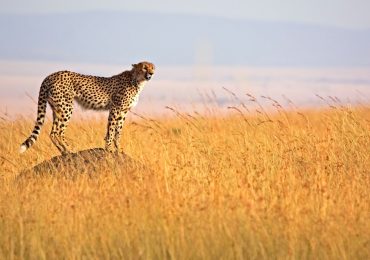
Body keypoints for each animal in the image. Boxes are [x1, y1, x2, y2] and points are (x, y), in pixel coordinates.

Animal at [19, 61, 155, 154]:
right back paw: (70, 149)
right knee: (59, 131)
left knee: (53, 132)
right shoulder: (115, 109)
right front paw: (109, 148)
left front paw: (118, 149)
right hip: (66, 107)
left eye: (153, 67)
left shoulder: (123, 112)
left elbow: (118, 132)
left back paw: (63, 151)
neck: (136, 80)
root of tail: (51, 75)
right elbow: (111, 130)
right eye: (144, 67)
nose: (151, 73)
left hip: (57, 108)